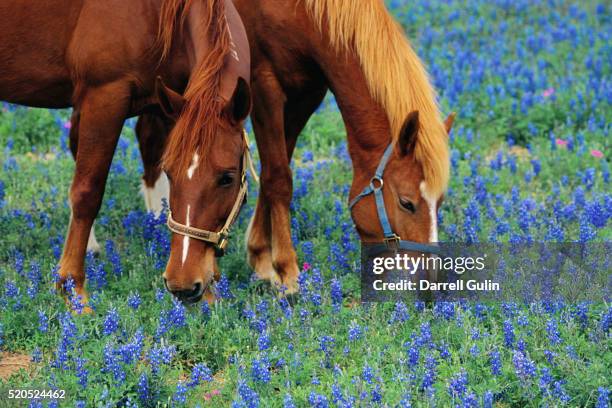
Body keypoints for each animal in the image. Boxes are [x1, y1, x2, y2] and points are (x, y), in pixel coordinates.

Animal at [0, 0, 252, 306]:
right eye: (171, 173)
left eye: (227, 178)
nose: (182, 285)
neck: (155, 13)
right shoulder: (104, 97)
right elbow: (87, 193)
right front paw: (72, 288)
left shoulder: (172, 104)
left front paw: (212, 291)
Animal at [137, 0, 454, 294]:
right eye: (406, 203)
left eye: (440, 202)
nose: (429, 283)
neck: (304, 11)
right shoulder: (263, 84)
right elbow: (279, 177)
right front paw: (287, 271)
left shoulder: (307, 91)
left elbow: (275, 169)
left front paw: (261, 257)